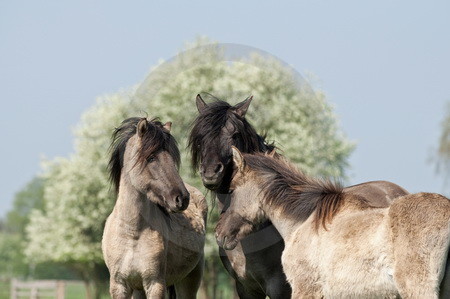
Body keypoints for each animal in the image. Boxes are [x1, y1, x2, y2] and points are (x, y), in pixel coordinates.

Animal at [101, 118, 207, 298]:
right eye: (151, 157)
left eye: (171, 157)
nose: (182, 198)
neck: (132, 232)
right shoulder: (119, 285)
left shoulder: (154, 283)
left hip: (190, 279)